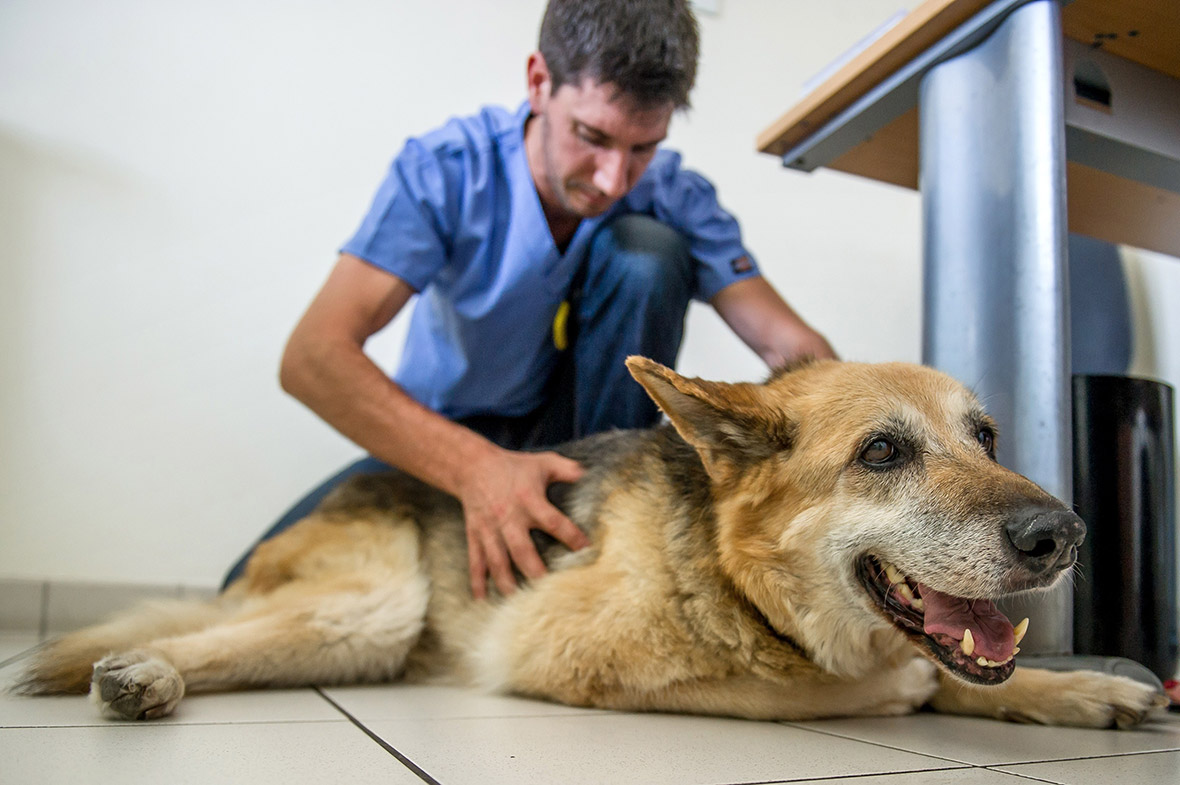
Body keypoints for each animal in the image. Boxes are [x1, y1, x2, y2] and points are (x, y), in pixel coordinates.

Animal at [13, 358, 1165, 727]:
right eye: (881, 451)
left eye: (986, 436)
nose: (1065, 532)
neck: (740, 582)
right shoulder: (561, 650)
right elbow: (881, 686)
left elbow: (970, 676)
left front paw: (1086, 686)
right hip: (371, 608)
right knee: (206, 638)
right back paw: (142, 671)